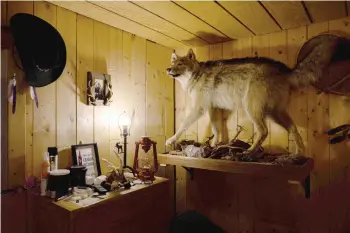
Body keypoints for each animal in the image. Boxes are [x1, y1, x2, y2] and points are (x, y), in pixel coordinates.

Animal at [166, 34, 342, 157]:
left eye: (180, 64)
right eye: (173, 63)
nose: (168, 69)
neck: (196, 76)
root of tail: (285, 70)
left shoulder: (199, 108)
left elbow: (183, 124)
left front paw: (172, 140)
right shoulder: (213, 108)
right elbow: (216, 129)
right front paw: (214, 144)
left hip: (253, 110)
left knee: (263, 131)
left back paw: (249, 151)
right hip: (275, 114)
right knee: (293, 129)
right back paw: (298, 154)